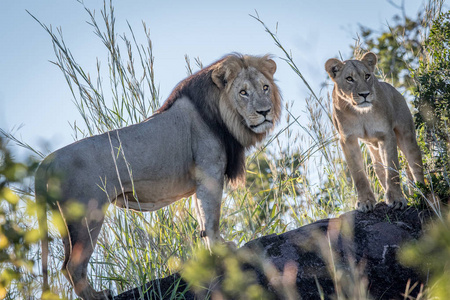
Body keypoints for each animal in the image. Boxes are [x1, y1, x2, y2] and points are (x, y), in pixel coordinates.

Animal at [36, 54, 282, 300]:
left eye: (265, 87)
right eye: (243, 92)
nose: (265, 112)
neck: (223, 114)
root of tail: (48, 160)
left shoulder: (200, 178)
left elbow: (203, 218)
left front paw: (212, 251)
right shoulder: (210, 170)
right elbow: (212, 218)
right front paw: (221, 250)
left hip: (66, 221)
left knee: (64, 266)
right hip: (87, 215)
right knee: (73, 265)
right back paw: (98, 295)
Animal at [326, 53, 424, 213]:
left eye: (367, 76)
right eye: (349, 78)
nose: (365, 94)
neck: (361, 113)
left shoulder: (387, 134)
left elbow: (392, 170)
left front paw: (397, 199)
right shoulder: (348, 139)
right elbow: (358, 174)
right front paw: (365, 202)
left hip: (406, 136)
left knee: (415, 164)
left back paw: (423, 194)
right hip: (373, 147)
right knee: (380, 168)